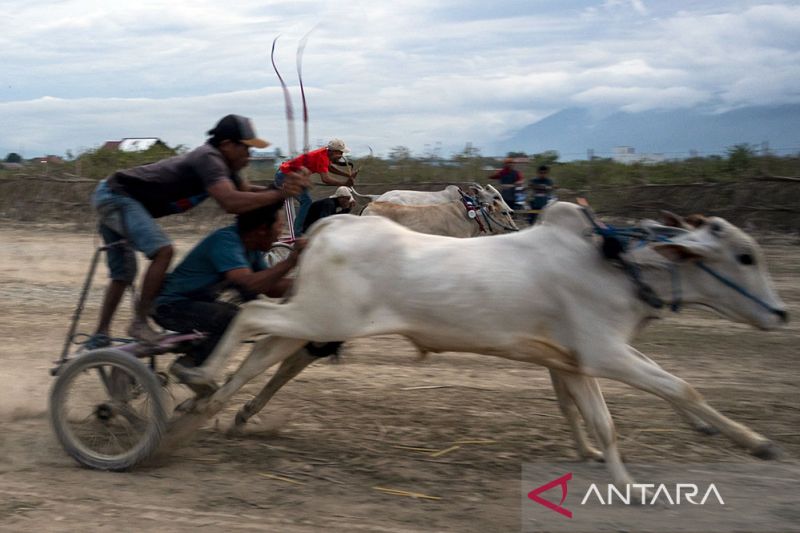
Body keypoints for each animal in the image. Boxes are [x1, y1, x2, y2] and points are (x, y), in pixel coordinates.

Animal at [178, 201, 784, 486]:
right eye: (744, 256)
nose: (781, 313)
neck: (613, 264)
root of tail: (330, 227)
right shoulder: (606, 353)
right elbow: (680, 388)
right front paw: (757, 444)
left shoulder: (575, 361)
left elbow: (592, 416)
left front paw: (609, 467)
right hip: (316, 316)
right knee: (251, 315)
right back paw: (199, 382)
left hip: (313, 321)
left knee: (263, 351)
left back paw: (210, 406)